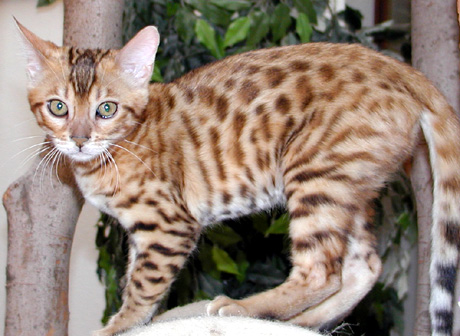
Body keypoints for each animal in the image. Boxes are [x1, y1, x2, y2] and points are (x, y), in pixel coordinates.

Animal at [16, 21, 460, 336]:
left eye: (106, 109)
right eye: (58, 107)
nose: (78, 140)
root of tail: (396, 66)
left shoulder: (168, 226)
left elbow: (142, 286)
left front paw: (118, 327)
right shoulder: (142, 234)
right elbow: (134, 281)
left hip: (315, 175)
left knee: (321, 270)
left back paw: (246, 309)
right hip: (351, 184)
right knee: (363, 266)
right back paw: (301, 323)